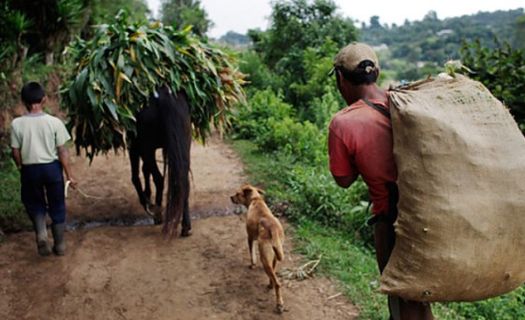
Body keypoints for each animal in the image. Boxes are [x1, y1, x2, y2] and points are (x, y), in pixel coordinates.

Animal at [128, 85, 191, 238]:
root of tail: (165, 96)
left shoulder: (135, 146)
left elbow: (136, 176)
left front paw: (146, 200)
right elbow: (145, 170)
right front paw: (147, 194)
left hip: (146, 146)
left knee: (159, 178)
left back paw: (157, 213)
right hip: (184, 142)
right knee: (183, 180)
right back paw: (185, 226)